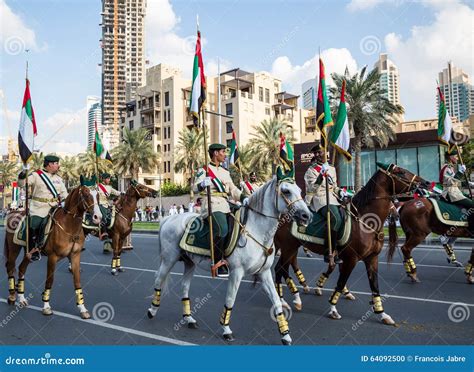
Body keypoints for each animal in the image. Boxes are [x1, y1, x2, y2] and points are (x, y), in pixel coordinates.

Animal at [3, 182, 102, 316]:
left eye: (97, 195)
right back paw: (12, 296)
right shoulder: (52, 257)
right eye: (86, 194)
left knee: (22, 268)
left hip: (28, 252)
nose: (98, 217)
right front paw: (46, 306)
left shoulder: (75, 256)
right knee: (10, 267)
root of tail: (13, 213)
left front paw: (82, 308)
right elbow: (50, 280)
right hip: (14, 248)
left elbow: (77, 281)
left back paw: (22, 299)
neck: (69, 226)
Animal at [148, 176, 312, 344]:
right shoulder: (236, 273)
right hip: (169, 259)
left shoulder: (264, 273)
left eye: (300, 190)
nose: (307, 216)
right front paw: (226, 329)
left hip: (189, 262)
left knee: (185, 286)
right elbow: (230, 300)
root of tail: (168, 219)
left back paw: (188, 319)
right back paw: (152, 310)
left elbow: (277, 302)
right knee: (158, 280)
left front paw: (285, 334)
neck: (256, 231)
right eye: (286, 191)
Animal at [272, 164, 428, 324]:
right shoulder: (350, 259)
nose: (425, 184)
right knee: (279, 269)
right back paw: (287, 300)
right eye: (401, 172)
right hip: (288, 248)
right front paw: (333, 309)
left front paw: (382, 314)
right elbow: (341, 283)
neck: (365, 221)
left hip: (292, 248)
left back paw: (291, 298)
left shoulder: (372, 258)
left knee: (283, 269)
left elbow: (375, 286)